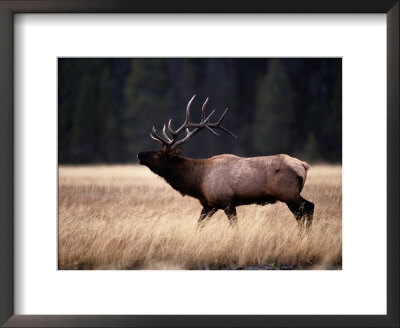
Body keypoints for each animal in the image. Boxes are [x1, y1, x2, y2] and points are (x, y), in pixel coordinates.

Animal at [137, 95, 312, 228]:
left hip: (288, 193)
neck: (198, 182)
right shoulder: (209, 205)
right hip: (292, 194)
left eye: (158, 153)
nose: (139, 154)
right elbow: (198, 226)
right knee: (307, 209)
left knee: (306, 209)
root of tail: (303, 166)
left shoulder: (226, 201)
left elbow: (234, 226)